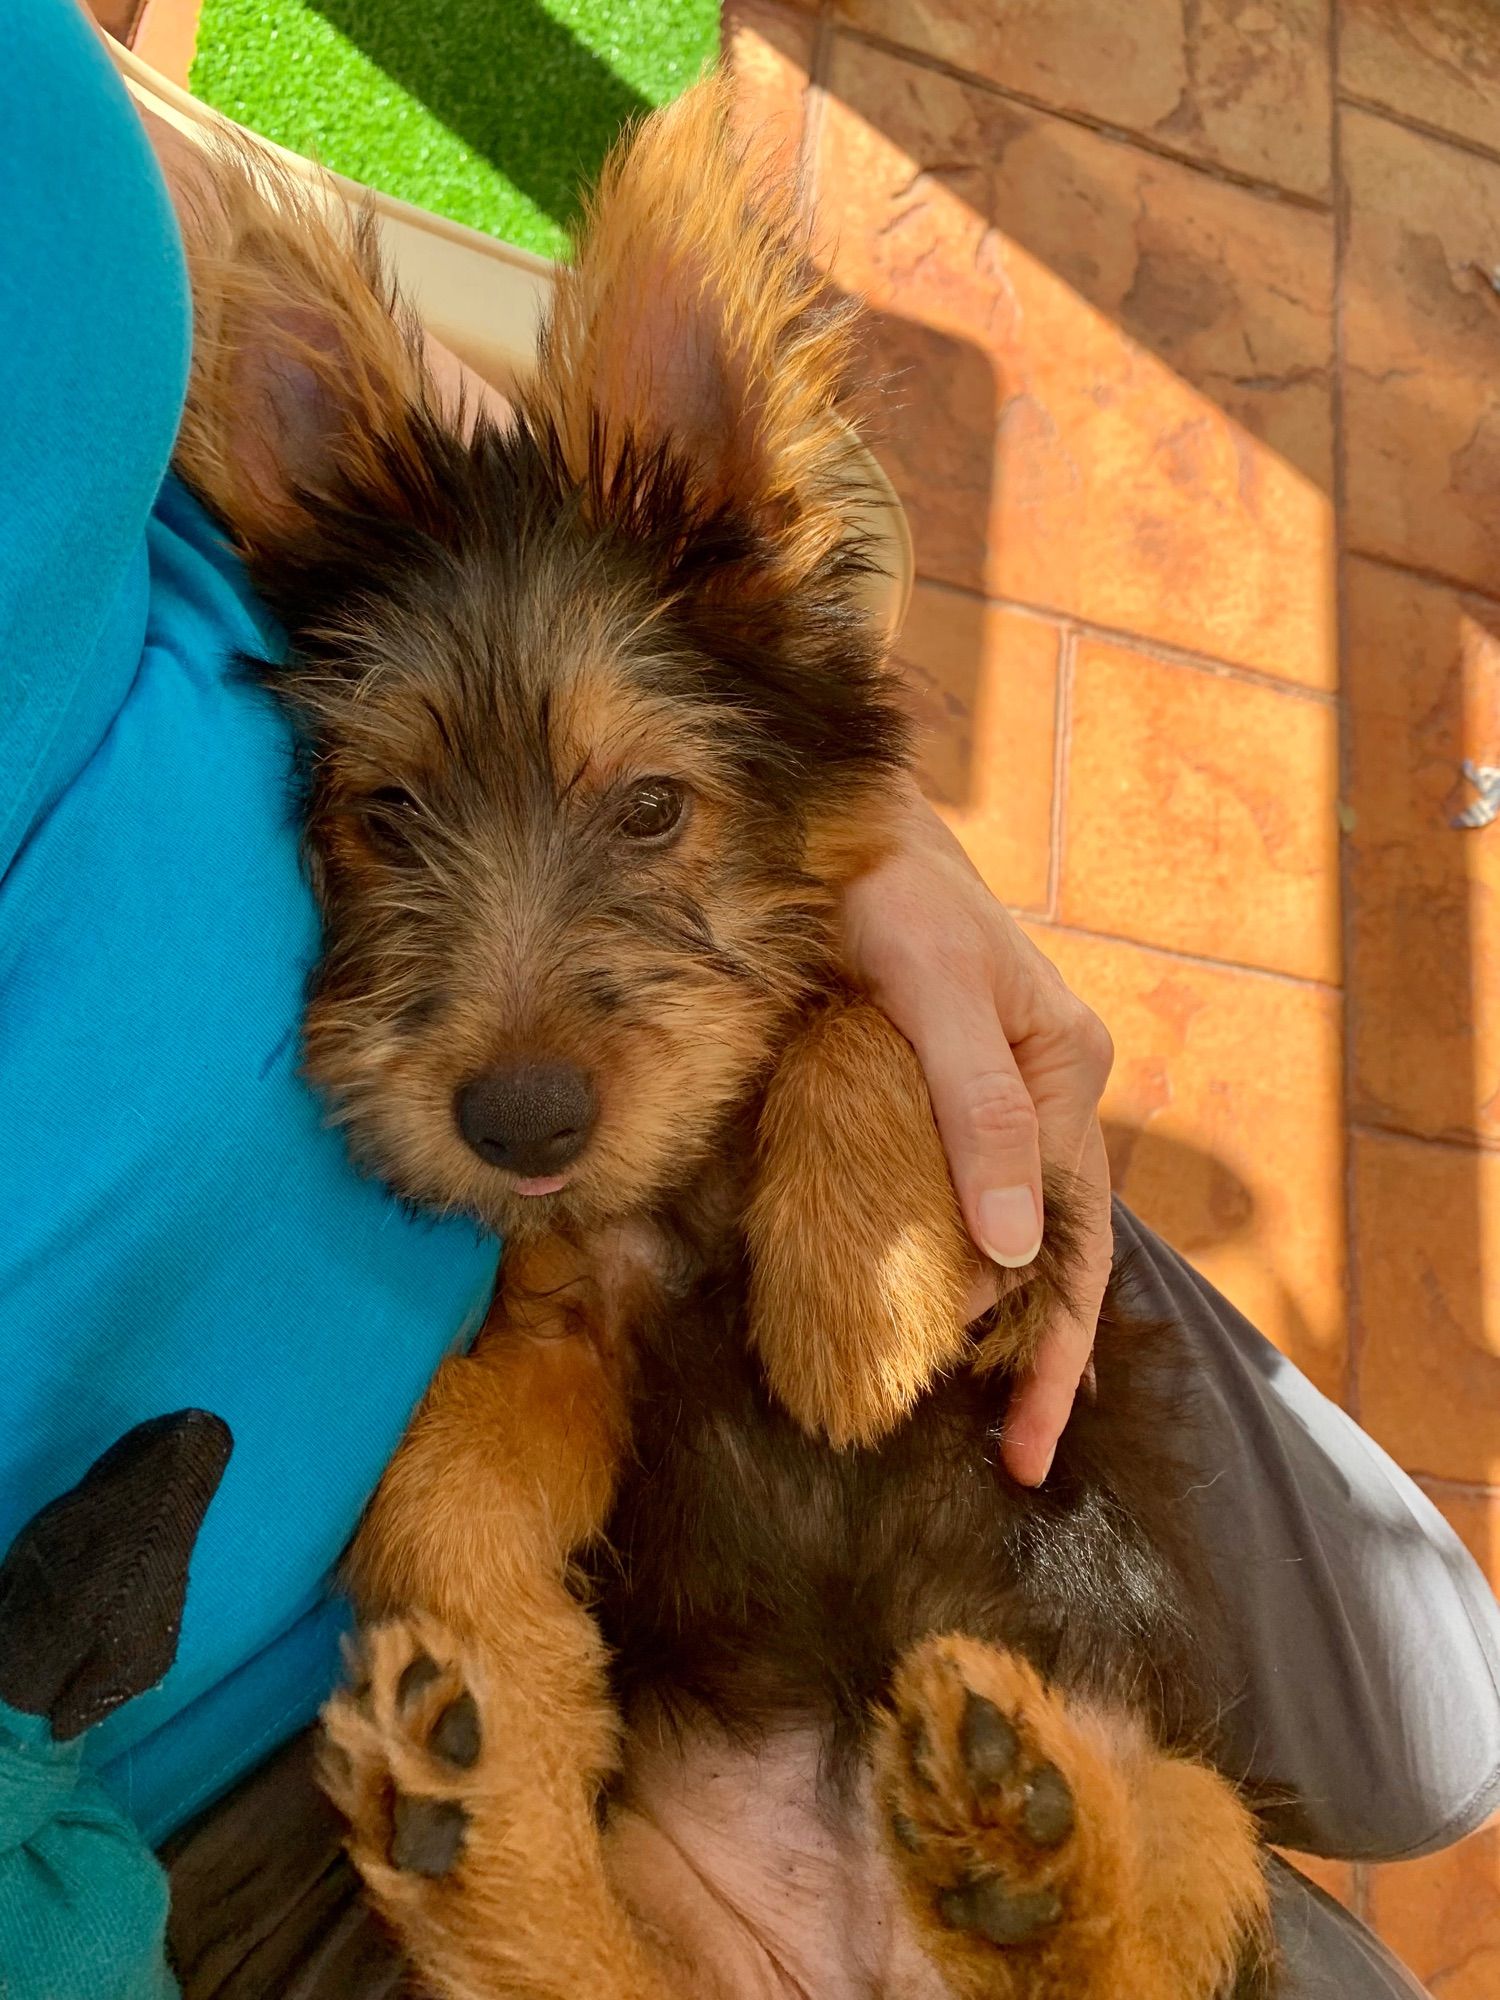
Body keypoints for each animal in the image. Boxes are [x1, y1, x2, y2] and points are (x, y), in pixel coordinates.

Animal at [176, 78, 1280, 2000]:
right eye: (382, 817)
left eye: (655, 808)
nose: (519, 1124)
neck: (675, 1198)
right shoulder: (568, 1325)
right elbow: (452, 1478)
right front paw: (497, 1652)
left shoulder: (1034, 1248)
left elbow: (852, 1014)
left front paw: (852, 1306)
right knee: (591, 1970)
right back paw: (467, 1827)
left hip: (1211, 1816)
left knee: (1132, 1934)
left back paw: (1017, 1840)